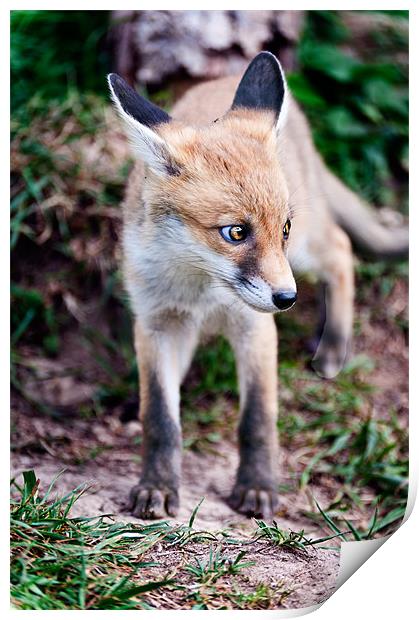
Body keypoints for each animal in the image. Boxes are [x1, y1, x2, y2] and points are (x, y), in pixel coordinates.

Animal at [106, 50, 408, 520]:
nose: (288, 299)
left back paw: (333, 345)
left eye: (282, 228)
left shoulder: (256, 327)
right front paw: (156, 484)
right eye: (235, 232)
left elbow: (258, 420)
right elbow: (159, 416)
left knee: (342, 250)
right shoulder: (156, 323)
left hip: (306, 252)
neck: (202, 288)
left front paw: (257, 487)